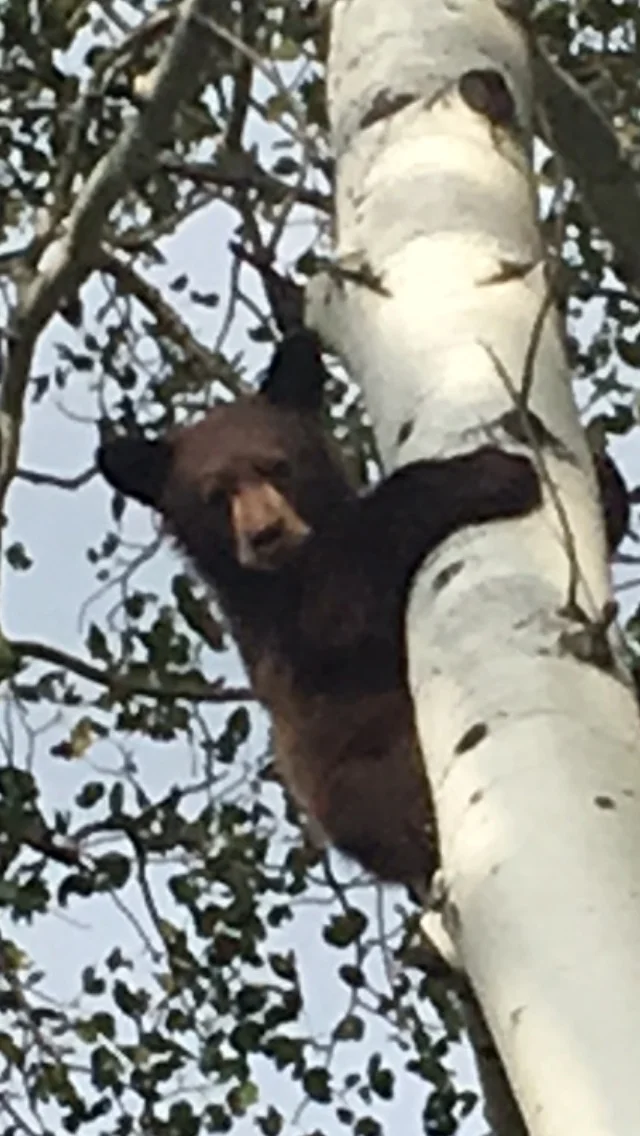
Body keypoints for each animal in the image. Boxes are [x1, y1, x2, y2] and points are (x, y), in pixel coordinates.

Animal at [96, 331, 627, 892]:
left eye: (277, 466)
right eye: (215, 494)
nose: (266, 534)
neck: (289, 566)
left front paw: (604, 475)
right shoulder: (282, 630)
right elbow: (346, 608)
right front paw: (492, 472)